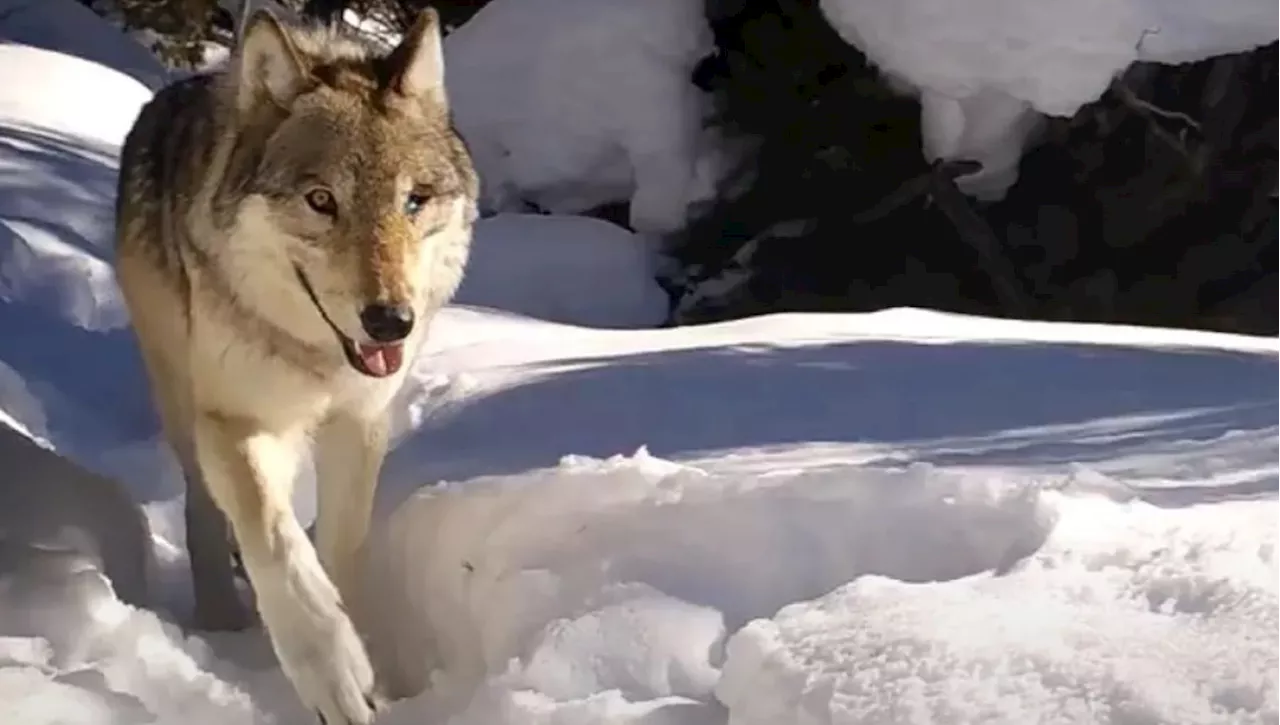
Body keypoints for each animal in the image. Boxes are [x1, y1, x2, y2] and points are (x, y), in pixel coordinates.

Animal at [110, 8, 478, 722]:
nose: (391, 322)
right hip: (181, 397)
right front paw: (334, 673)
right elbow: (278, 542)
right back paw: (222, 615)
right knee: (204, 508)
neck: (317, 358)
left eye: (414, 201)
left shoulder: (360, 424)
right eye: (321, 200)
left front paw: (372, 670)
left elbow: (340, 546)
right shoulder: (234, 419)